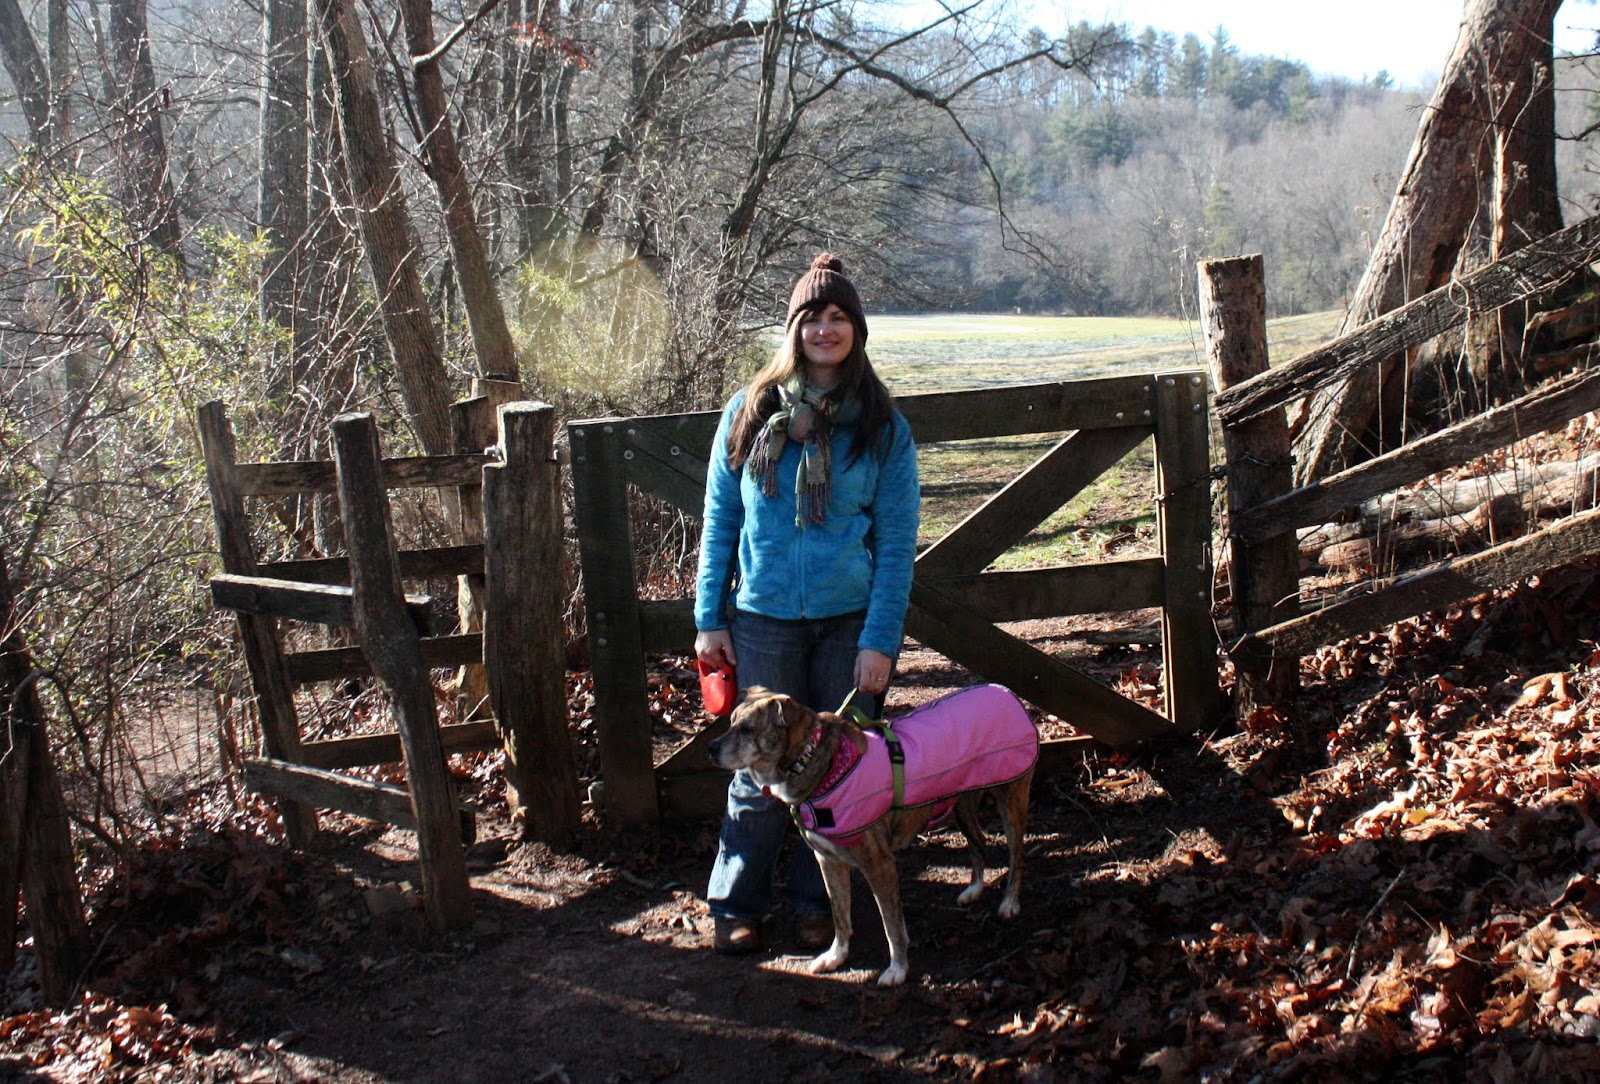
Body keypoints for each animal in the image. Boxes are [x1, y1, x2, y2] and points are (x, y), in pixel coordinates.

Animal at [707, 684, 1037, 987]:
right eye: (730, 721)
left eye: (747, 729)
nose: (711, 747)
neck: (819, 763)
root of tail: (1004, 690)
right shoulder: (828, 861)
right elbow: (840, 916)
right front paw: (835, 957)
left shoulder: (879, 866)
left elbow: (892, 926)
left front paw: (898, 970)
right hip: (963, 803)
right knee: (979, 842)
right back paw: (974, 889)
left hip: (1012, 799)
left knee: (1018, 856)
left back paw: (1009, 903)